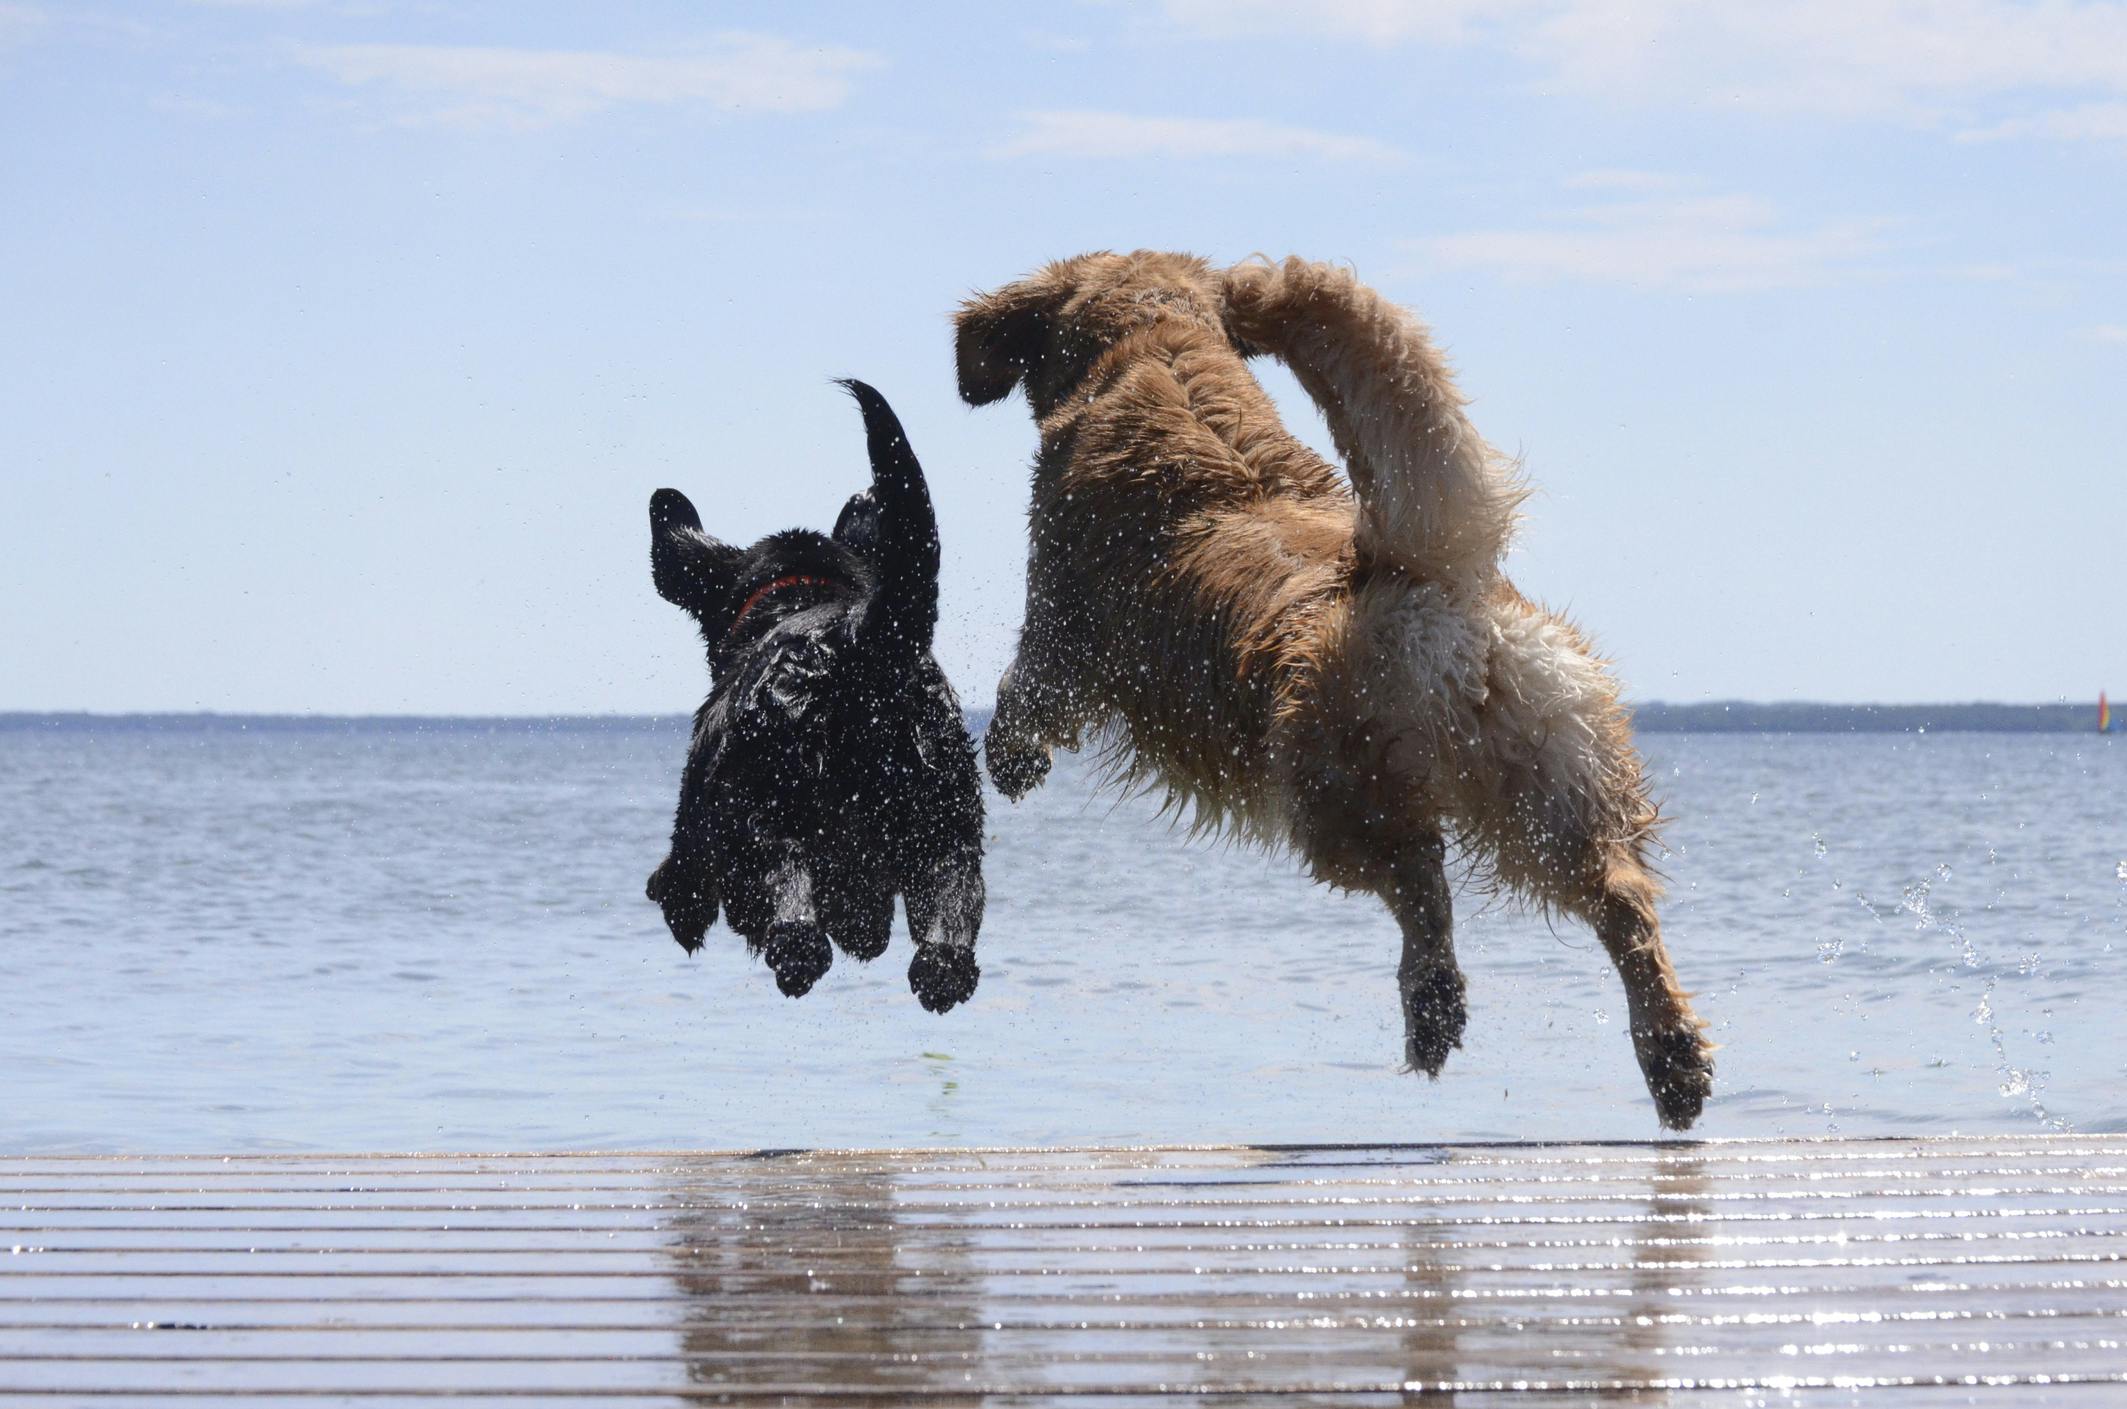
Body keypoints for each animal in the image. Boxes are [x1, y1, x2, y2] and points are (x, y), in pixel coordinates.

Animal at [642, 380, 982, 1008]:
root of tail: (857, 642)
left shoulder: (698, 816)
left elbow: (685, 877)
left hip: (768, 800)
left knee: (793, 909)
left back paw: (798, 954)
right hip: (946, 813)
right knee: (949, 921)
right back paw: (936, 967)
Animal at [957, 254, 1718, 1132]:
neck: (1158, 347)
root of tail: (1421, 576)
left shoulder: (1060, 622)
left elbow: (1026, 692)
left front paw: (1011, 760)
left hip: (1332, 795)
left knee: (1422, 883)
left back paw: (1433, 1009)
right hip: (1551, 777)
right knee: (1620, 898)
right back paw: (1671, 1057)